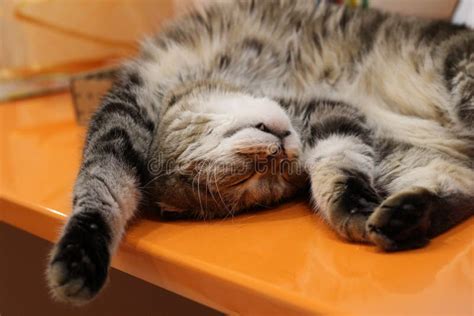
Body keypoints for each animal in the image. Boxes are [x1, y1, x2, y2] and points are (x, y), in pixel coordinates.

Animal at [45, 0, 474, 304]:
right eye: (257, 176)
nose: (277, 153)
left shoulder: (123, 113)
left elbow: (99, 186)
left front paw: (79, 254)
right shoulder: (332, 115)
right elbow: (337, 167)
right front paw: (355, 210)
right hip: (406, 156)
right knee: (455, 193)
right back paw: (406, 217)